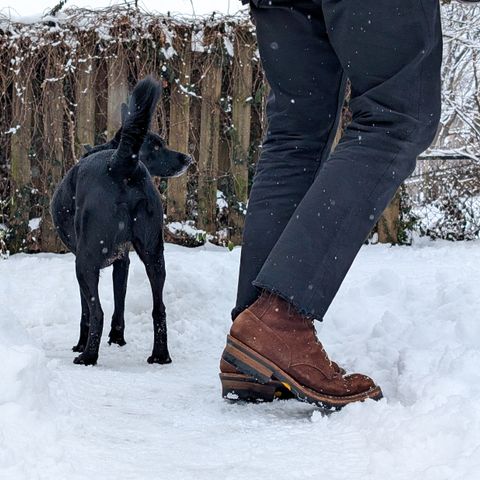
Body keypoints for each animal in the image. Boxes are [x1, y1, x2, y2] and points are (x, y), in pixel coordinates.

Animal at [52, 77, 191, 366]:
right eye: (157, 146)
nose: (188, 158)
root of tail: (121, 164)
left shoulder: (86, 261)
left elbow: (87, 310)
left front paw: (81, 343)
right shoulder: (123, 261)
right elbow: (120, 301)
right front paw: (117, 339)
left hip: (85, 262)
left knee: (97, 312)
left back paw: (88, 356)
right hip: (154, 254)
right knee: (159, 308)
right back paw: (160, 355)